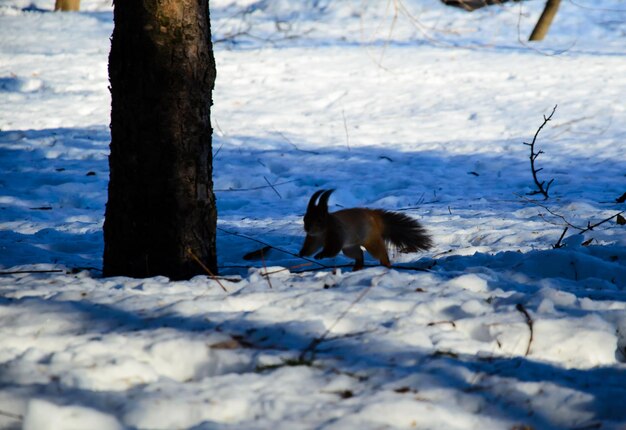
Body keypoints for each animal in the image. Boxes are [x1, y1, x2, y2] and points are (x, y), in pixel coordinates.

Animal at [298, 190, 428, 270]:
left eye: (319, 219)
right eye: (305, 218)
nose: (307, 228)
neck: (322, 232)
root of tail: (374, 218)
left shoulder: (337, 234)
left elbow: (332, 250)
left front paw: (320, 255)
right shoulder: (313, 239)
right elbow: (310, 248)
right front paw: (301, 253)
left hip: (371, 241)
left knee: (380, 253)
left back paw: (385, 264)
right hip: (349, 247)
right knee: (359, 253)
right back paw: (357, 267)